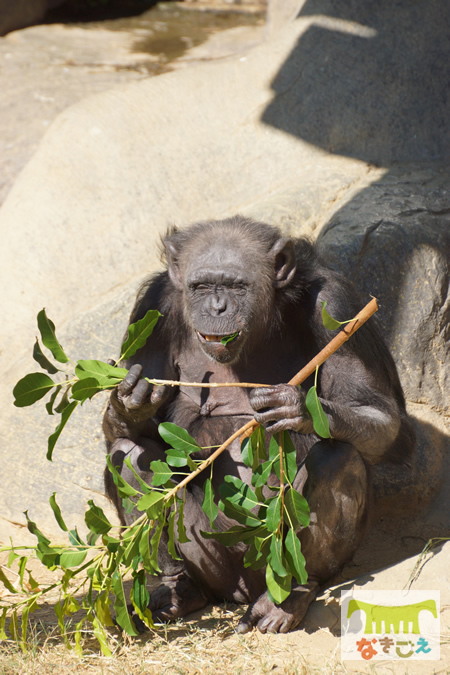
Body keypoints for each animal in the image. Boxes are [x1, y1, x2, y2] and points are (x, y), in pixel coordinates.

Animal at [103, 217, 414, 632]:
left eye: (237, 286)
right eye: (201, 286)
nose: (217, 307)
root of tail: (239, 594)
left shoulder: (338, 305)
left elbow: (382, 415)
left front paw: (294, 406)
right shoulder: (151, 311)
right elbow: (136, 432)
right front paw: (130, 402)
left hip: (272, 557)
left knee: (336, 460)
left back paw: (288, 596)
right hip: (209, 561)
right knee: (129, 455)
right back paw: (173, 590)